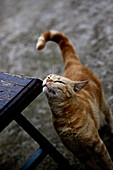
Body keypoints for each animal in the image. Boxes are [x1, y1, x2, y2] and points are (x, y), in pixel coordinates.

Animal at [36, 30, 113, 170]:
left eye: (59, 81)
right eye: (49, 76)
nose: (48, 79)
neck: (63, 116)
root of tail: (73, 65)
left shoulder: (98, 146)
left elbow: (107, 162)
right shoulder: (80, 153)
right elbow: (93, 167)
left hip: (102, 101)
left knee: (108, 113)